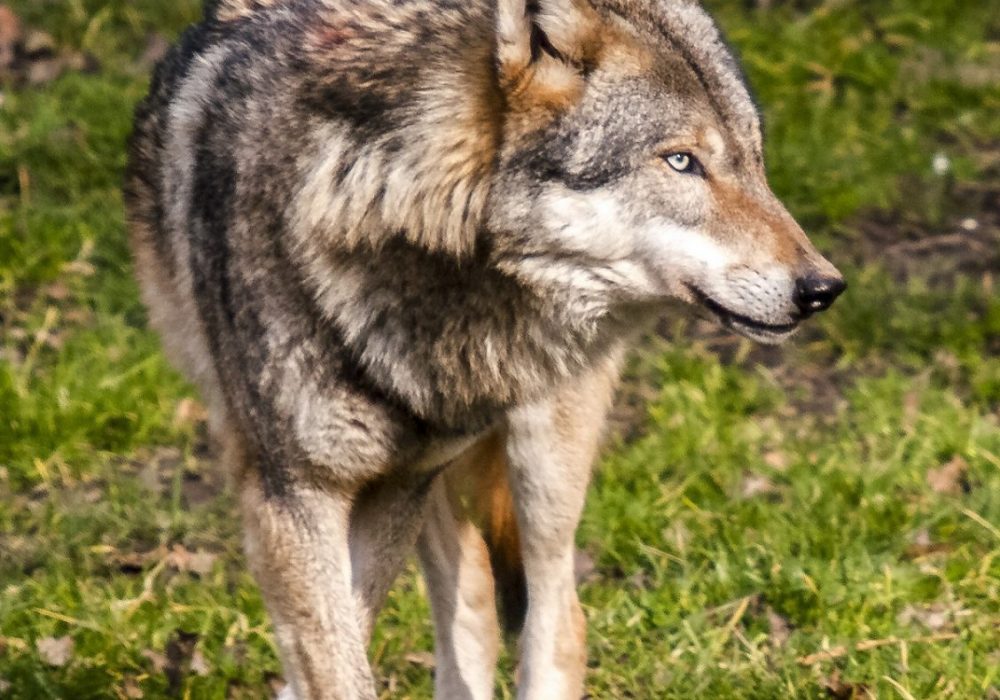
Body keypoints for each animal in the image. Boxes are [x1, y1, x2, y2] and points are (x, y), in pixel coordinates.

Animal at [125, 0, 845, 697]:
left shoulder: (396, 485)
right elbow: (335, 662)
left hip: (541, 462)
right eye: (681, 161)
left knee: (558, 618)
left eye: (753, 160)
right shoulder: (296, 494)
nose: (824, 289)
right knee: (472, 591)